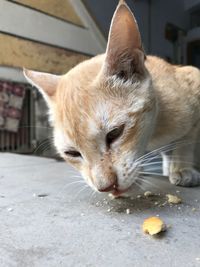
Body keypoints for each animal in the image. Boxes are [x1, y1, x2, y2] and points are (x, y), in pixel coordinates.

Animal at [23, 0, 200, 197]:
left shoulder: (193, 80)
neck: (154, 133)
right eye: (72, 153)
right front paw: (171, 167)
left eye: (114, 133)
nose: (106, 187)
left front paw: (182, 167)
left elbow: (187, 142)